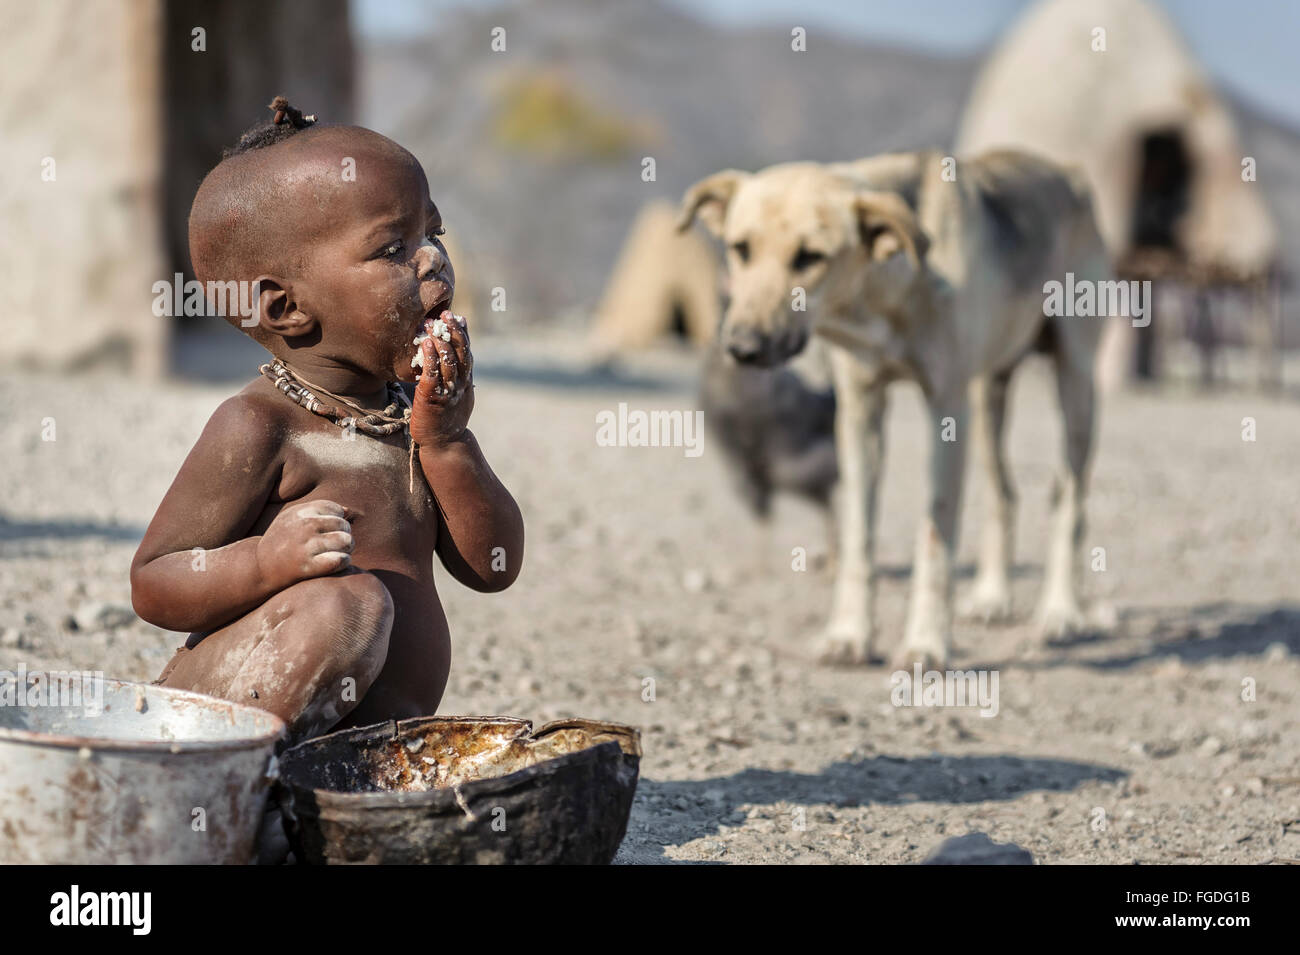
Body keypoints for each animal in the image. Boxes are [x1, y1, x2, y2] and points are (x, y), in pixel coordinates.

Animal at [681, 151, 1107, 670]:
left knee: (1069, 500)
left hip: (1076, 384)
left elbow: (936, 536)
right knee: (1004, 494)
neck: (882, 294)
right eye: (740, 248)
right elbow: (858, 537)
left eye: (810, 257)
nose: (742, 348)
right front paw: (849, 635)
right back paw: (992, 596)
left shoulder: (947, 408)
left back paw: (1062, 611)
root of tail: (1066, 170)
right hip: (988, 393)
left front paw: (927, 642)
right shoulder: (860, 411)